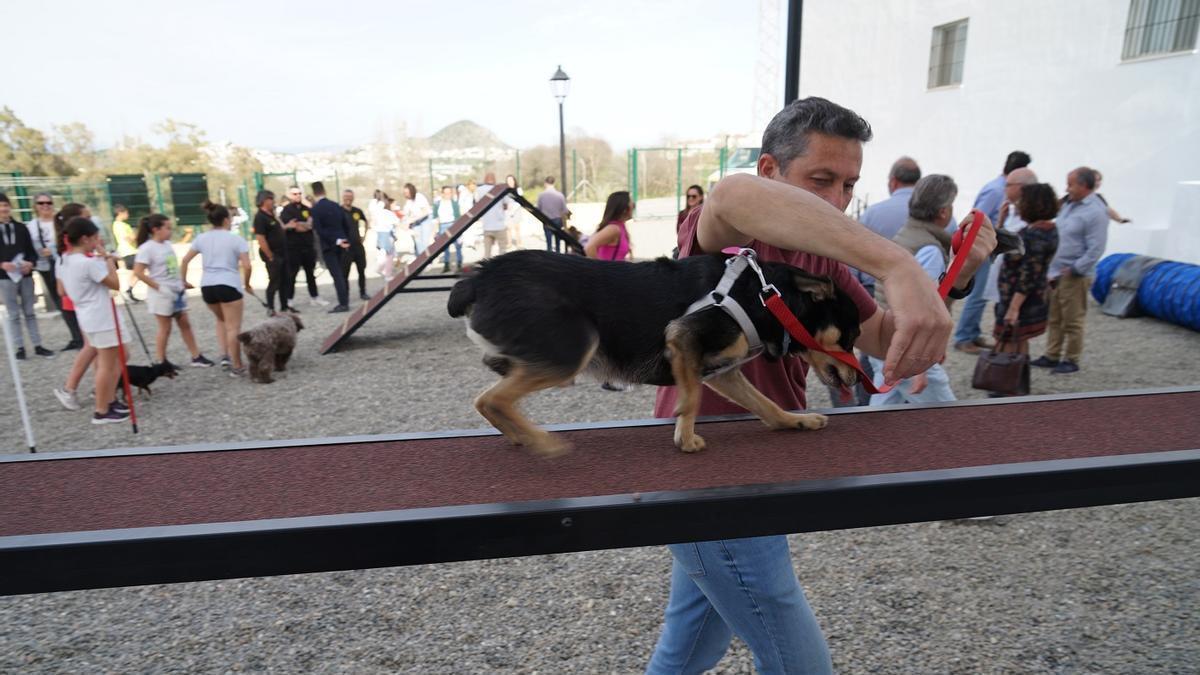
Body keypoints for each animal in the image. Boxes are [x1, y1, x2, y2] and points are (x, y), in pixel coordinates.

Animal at [446, 249, 859, 454]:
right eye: (850, 335)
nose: (857, 377)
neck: (765, 297)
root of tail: (478, 278)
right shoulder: (683, 338)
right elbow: (691, 399)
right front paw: (685, 438)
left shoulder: (723, 371)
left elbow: (766, 405)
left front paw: (796, 421)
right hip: (573, 348)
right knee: (492, 399)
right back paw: (542, 442)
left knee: (491, 397)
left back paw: (520, 435)